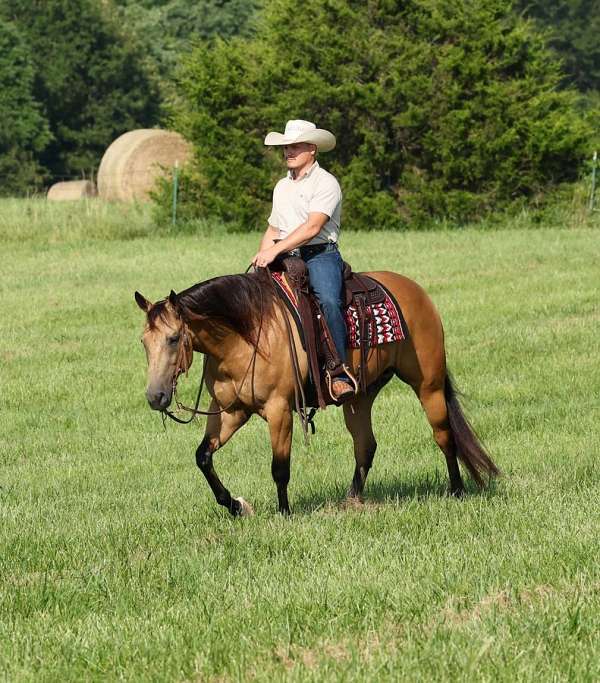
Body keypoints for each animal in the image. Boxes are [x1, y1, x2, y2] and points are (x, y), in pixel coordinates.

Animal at [134, 269, 499, 516]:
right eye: (144, 342)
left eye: (173, 338)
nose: (155, 397)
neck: (245, 336)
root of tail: (415, 291)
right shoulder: (231, 411)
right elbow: (203, 457)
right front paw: (236, 505)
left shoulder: (279, 410)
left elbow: (279, 467)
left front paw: (284, 514)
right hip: (360, 396)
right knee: (365, 446)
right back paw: (351, 500)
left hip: (429, 384)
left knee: (443, 434)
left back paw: (456, 491)